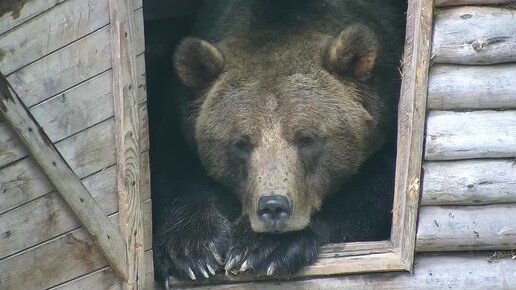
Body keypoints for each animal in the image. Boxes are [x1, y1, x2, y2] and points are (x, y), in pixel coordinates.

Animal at [153, 0, 408, 286]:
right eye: (241, 143)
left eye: (306, 138)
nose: (273, 206)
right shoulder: (179, 114)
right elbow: (178, 172)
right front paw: (192, 250)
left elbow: (374, 191)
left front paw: (260, 248)